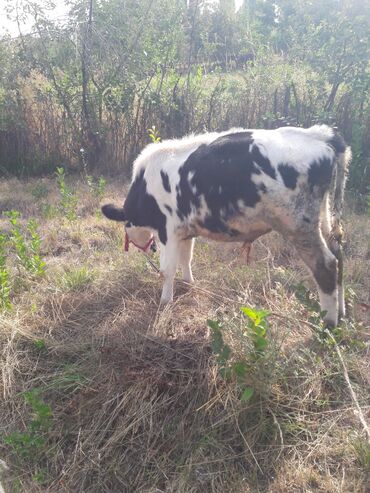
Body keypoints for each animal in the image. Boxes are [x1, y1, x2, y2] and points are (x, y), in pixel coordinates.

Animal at [102, 126, 352, 326]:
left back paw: (328, 323)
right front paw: (189, 283)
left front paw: (165, 301)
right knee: (339, 257)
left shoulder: (168, 231)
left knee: (326, 265)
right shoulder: (185, 231)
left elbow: (168, 269)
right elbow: (186, 259)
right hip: (325, 220)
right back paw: (341, 313)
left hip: (298, 226)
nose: (149, 248)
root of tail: (319, 134)